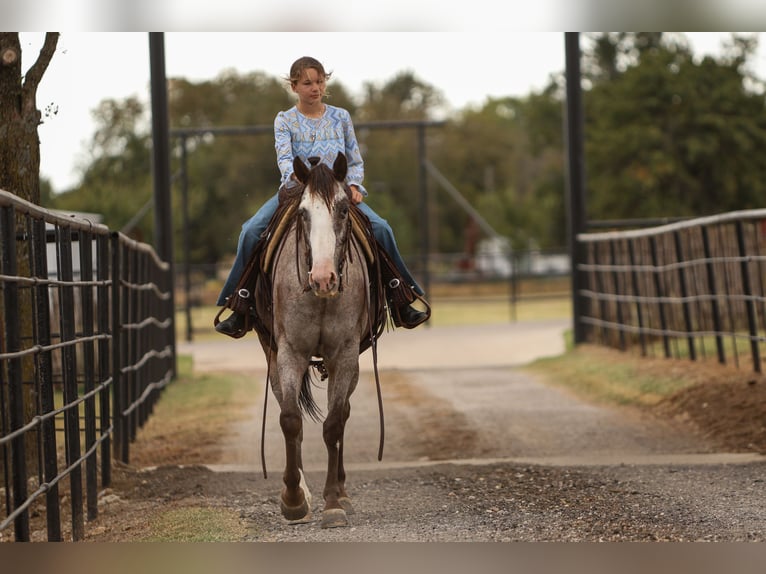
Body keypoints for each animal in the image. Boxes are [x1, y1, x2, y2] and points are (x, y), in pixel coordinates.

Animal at [258, 153, 378, 532]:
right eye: (303, 213)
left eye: (343, 209)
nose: (323, 278)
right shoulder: (289, 353)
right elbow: (290, 420)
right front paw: (294, 500)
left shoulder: (345, 355)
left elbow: (334, 424)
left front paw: (333, 503)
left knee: (343, 415)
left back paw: (340, 491)